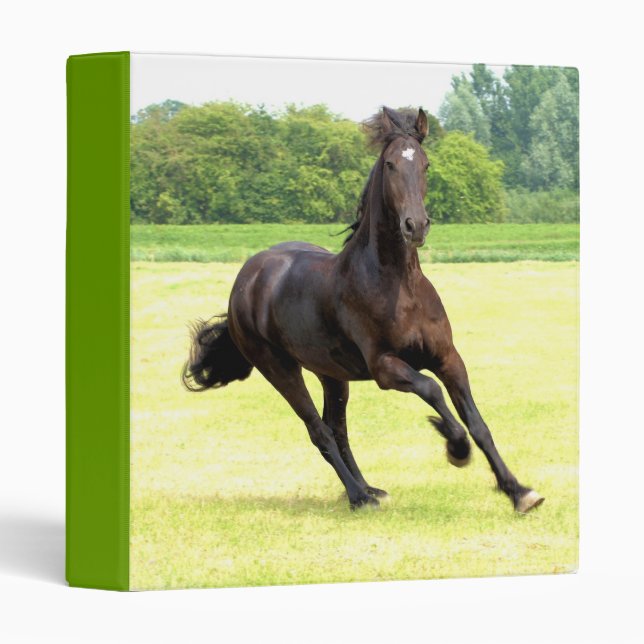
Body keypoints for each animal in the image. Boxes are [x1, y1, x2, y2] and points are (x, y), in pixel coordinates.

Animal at [182, 106, 544, 514]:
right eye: (390, 164)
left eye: (425, 164)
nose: (416, 225)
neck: (398, 286)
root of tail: (245, 281)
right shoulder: (385, 367)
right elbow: (432, 391)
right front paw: (455, 447)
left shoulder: (448, 357)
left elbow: (478, 423)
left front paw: (519, 492)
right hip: (279, 368)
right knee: (318, 430)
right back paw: (359, 497)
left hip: (330, 373)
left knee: (337, 428)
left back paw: (369, 489)